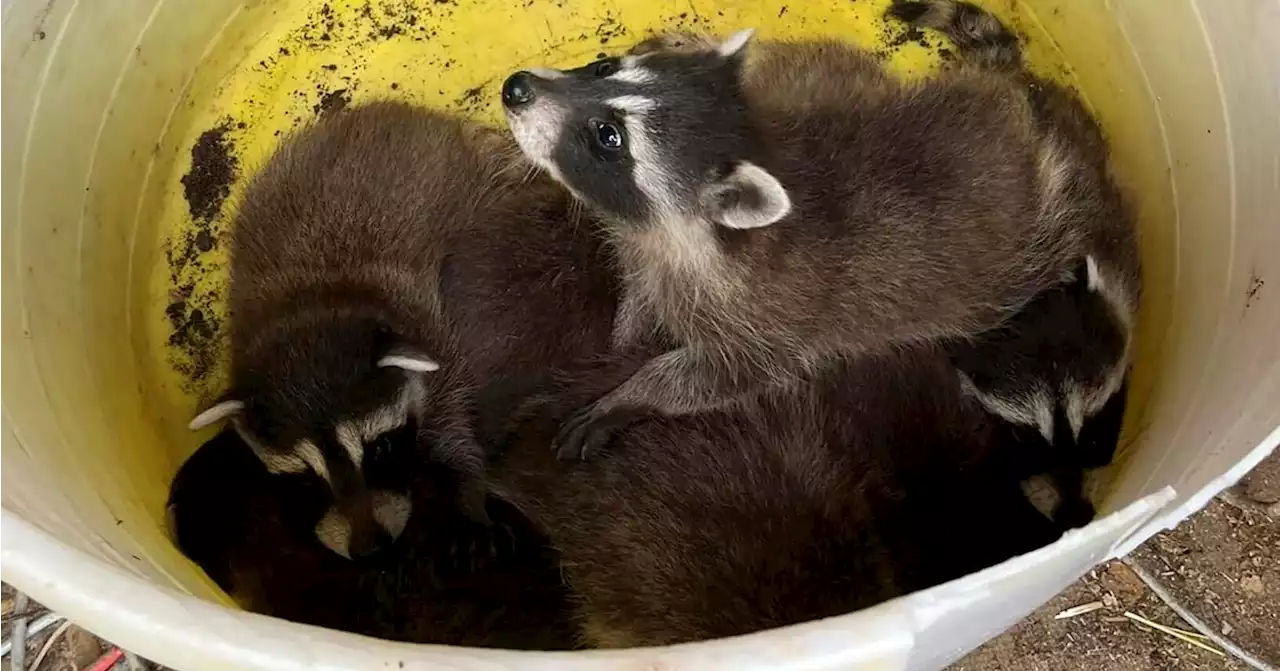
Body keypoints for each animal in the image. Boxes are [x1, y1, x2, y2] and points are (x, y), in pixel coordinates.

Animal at [185, 101, 535, 555]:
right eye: (304, 478)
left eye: (379, 448)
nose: (370, 548)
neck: (309, 306)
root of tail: (398, 112)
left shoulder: (434, 333)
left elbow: (452, 427)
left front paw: (465, 495)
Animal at [499, 22, 1100, 460]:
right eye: (604, 66)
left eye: (608, 137)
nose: (516, 87)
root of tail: (1009, 112)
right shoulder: (650, 256)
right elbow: (641, 300)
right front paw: (621, 341)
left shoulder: (765, 324)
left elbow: (713, 378)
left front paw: (633, 391)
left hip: (1020, 260)